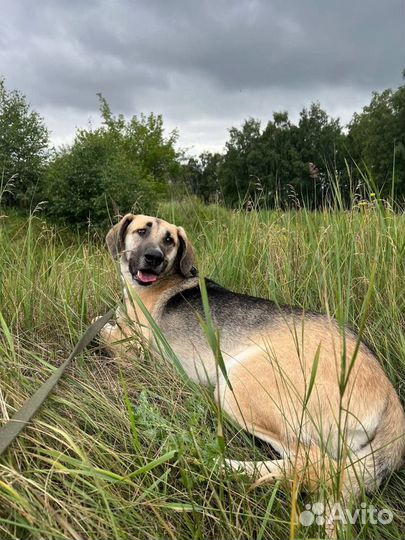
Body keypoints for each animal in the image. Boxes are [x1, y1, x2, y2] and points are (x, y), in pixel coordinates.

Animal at [97, 212, 404, 532]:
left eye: (169, 240)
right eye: (141, 231)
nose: (153, 258)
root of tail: (390, 398)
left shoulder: (137, 351)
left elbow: (103, 331)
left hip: (236, 387)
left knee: (311, 462)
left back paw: (216, 464)